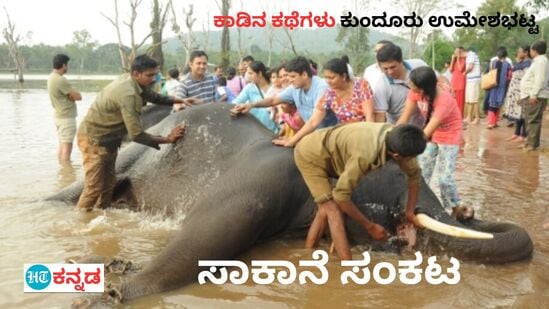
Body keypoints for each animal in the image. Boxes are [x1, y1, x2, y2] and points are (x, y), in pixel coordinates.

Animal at [47, 102, 532, 302]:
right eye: (393, 169)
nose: (467, 211)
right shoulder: (261, 183)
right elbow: (204, 240)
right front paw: (110, 293)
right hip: (127, 153)